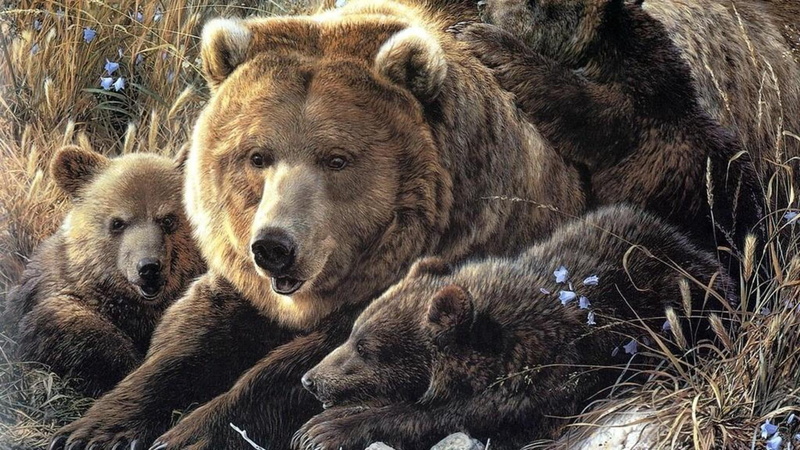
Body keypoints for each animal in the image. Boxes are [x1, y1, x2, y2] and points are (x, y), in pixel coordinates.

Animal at [49, 1, 585, 449]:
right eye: (257, 155)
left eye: (337, 159)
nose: (274, 247)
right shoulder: (243, 283)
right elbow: (188, 337)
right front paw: (94, 429)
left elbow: (313, 366)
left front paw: (189, 434)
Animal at [293, 205, 734, 450]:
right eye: (353, 333)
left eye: (365, 348)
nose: (309, 380)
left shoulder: (549, 377)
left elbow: (461, 416)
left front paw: (325, 429)